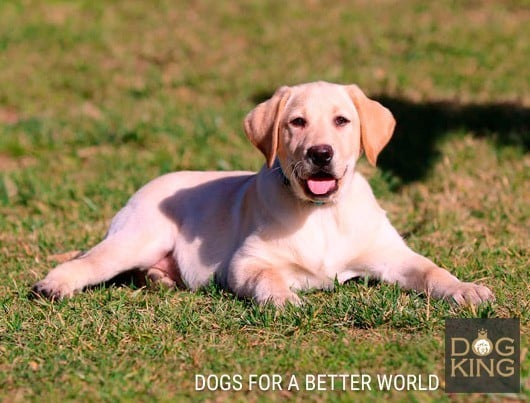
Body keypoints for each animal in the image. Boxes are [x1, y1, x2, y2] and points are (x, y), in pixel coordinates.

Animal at [35, 80, 492, 306]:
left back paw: (159, 279)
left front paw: (467, 290)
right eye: (296, 122)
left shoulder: (393, 255)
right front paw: (285, 299)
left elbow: (432, 270)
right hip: (138, 238)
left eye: (342, 121)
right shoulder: (243, 263)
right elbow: (267, 278)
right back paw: (52, 285)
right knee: (89, 261)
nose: (320, 153)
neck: (321, 213)